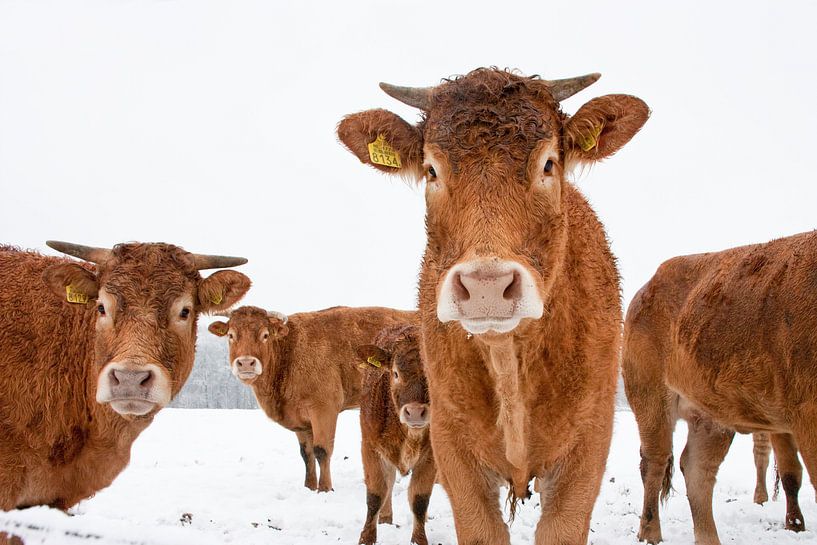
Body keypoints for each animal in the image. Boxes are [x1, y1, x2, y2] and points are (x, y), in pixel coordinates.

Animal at [209, 304, 414, 490]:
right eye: (231, 335)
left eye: (265, 335)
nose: (246, 363)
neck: (289, 353)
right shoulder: (300, 420)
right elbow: (306, 454)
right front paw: (309, 486)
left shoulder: (324, 409)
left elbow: (322, 450)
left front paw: (325, 489)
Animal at [356, 324, 436, 544]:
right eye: (395, 373)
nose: (415, 412)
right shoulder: (370, 447)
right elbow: (375, 495)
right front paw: (366, 538)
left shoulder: (431, 456)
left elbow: (419, 499)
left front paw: (419, 539)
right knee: (389, 482)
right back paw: (385, 518)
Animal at [620, 231, 816, 544]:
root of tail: (646, 289)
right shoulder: (805, 415)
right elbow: (792, 473)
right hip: (650, 398)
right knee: (655, 461)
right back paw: (650, 532)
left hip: (712, 417)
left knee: (697, 469)